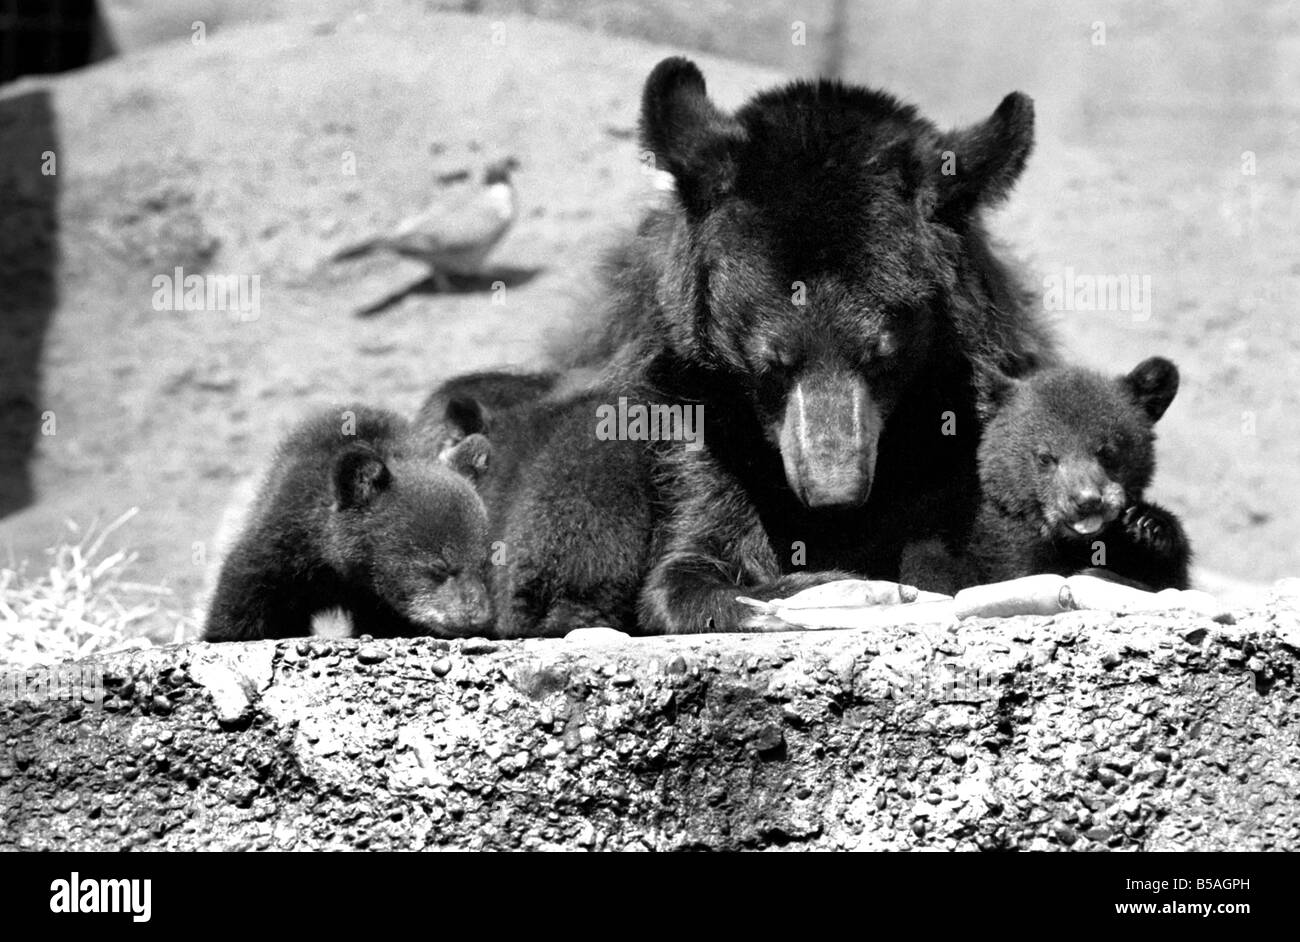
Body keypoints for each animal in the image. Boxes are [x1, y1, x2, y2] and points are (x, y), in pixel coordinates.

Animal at [561, 58, 1055, 631]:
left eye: (882, 358)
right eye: (771, 364)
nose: (834, 493)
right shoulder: (690, 409)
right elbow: (686, 566)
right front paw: (814, 588)